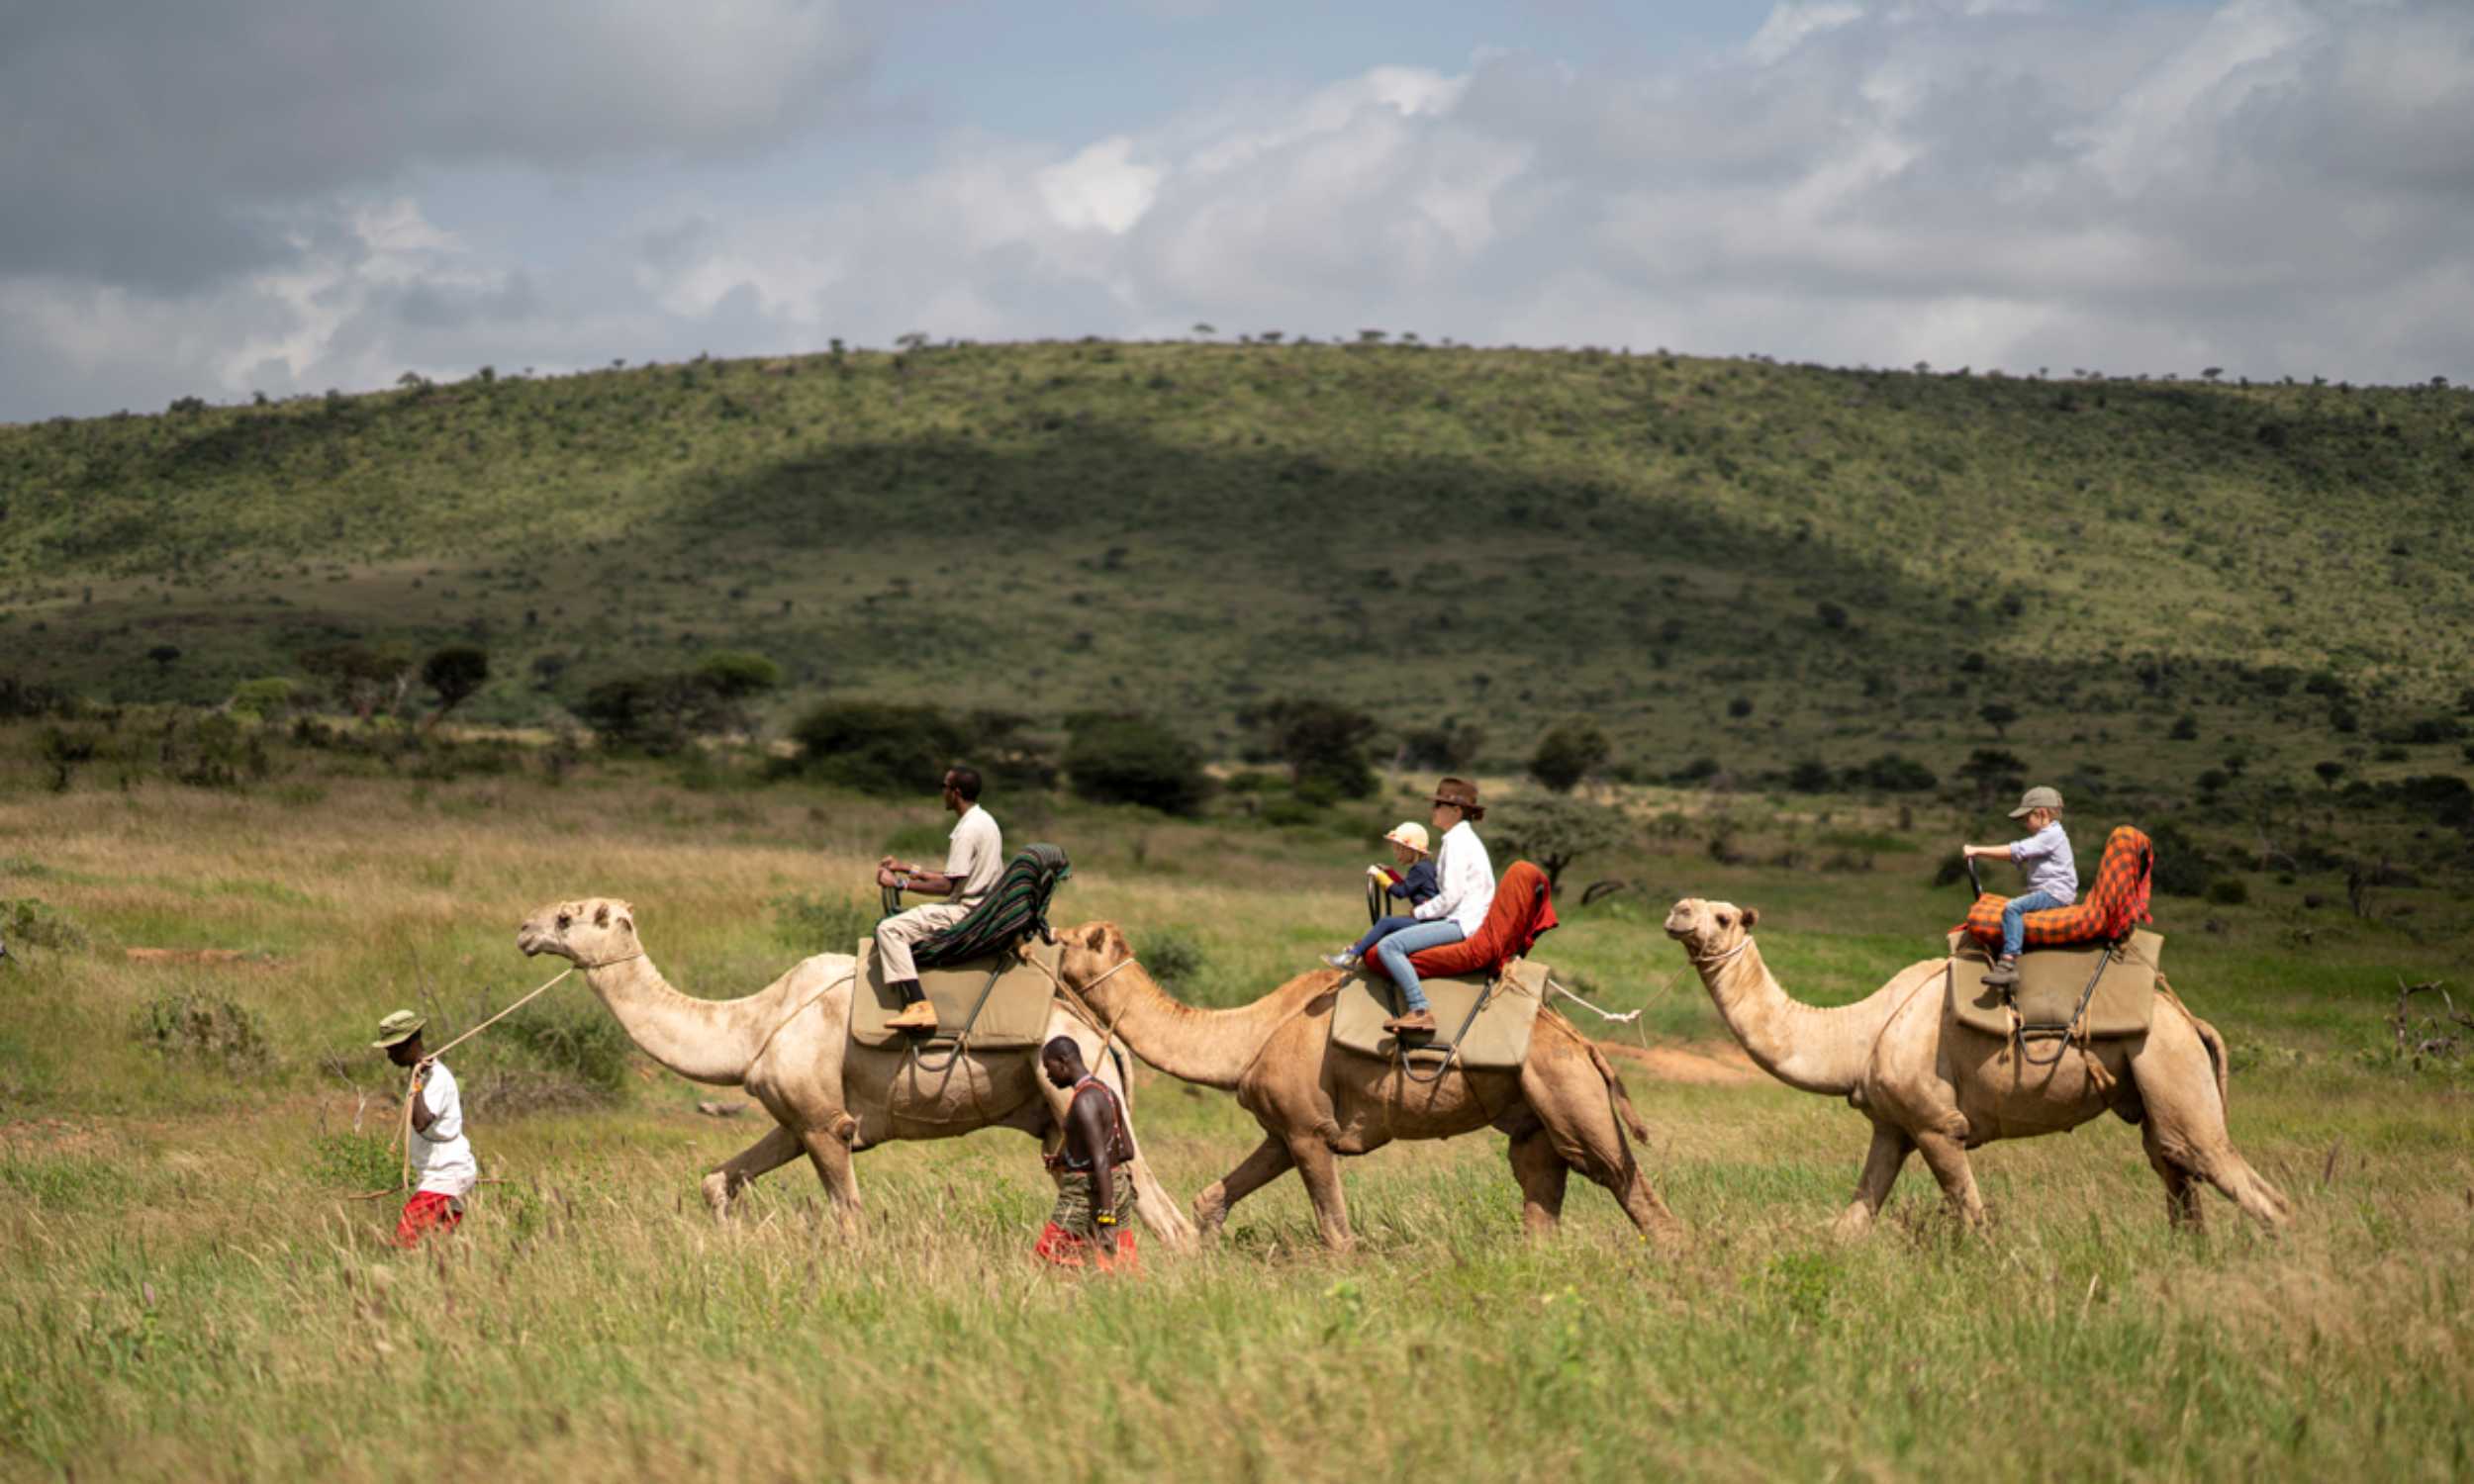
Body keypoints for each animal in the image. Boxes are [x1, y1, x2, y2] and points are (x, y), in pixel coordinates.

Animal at [515, 890, 1197, 1252]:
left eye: (569, 916)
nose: (524, 927)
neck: (754, 1024)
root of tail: (1105, 1039)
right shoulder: (796, 1117)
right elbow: (718, 1181)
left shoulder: (826, 1124)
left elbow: (849, 1218)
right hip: (1057, 1117)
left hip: (1082, 1090)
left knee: (1160, 1208)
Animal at [1044, 915, 1682, 1252]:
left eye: (1068, 939)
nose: (1041, 932)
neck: (1250, 1033)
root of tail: (1584, 1043)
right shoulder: (1283, 1131)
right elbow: (1212, 1199)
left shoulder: (1307, 1132)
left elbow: (1336, 1231)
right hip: (1534, 1117)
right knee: (1540, 1189)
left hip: (1568, 1090)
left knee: (1625, 1180)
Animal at [1653, 900, 2286, 1237]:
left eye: (1724, 917)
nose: (1678, 912)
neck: (1859, 1033)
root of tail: (2191, 1020)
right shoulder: (1894, 1125)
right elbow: (1851, 1224)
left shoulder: (1937, 1124)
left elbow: (1973, 1217)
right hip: (2152, 1081)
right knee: (2176, 1171)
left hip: (2168, 1061)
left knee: (2232, 1175)